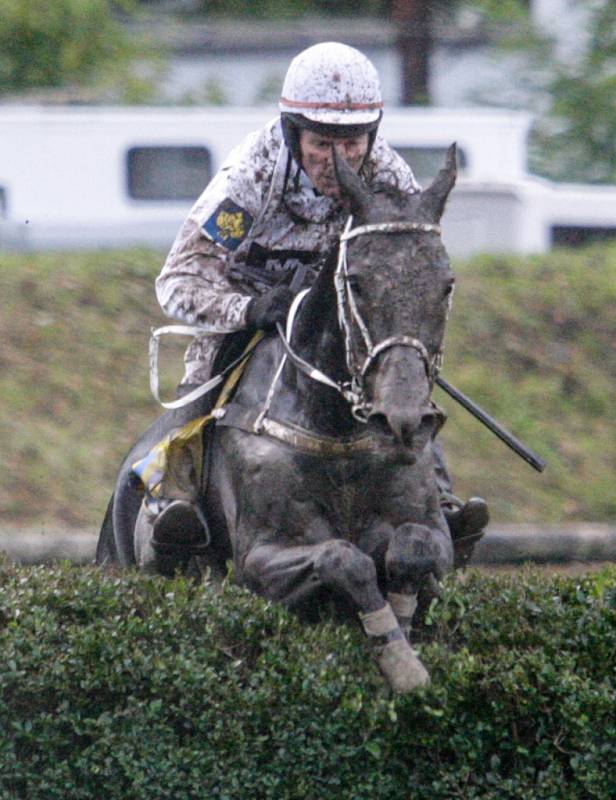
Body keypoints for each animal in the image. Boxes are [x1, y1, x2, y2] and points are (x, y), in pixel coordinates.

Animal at [97, 145, 458, 692]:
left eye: (446, 284)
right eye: (356, 282)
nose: (404, 419)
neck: (338, 429)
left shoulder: (434, 533)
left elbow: (411, 546)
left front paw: (404, 623)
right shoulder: (261, 558)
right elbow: (343, 558)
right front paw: (398, 655)